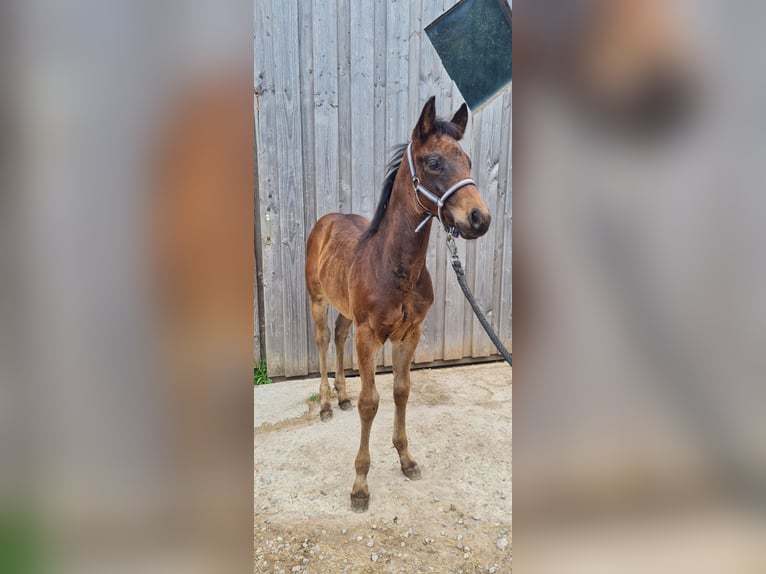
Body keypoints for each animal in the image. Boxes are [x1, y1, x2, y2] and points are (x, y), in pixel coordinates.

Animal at [306, 98, 492, 512]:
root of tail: (326, 221)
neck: (396, 267)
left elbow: (401, 392)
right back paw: (326, 404)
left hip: (346, 311)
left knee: (338, 337)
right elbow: (370, 402)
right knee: (324, 341)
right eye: (434, 162)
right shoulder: (369, 335)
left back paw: (340, 398)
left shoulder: (410, 334)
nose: (480, 218)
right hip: (317, 299)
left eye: (468, 160)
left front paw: (406, 459)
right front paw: (360, 485)